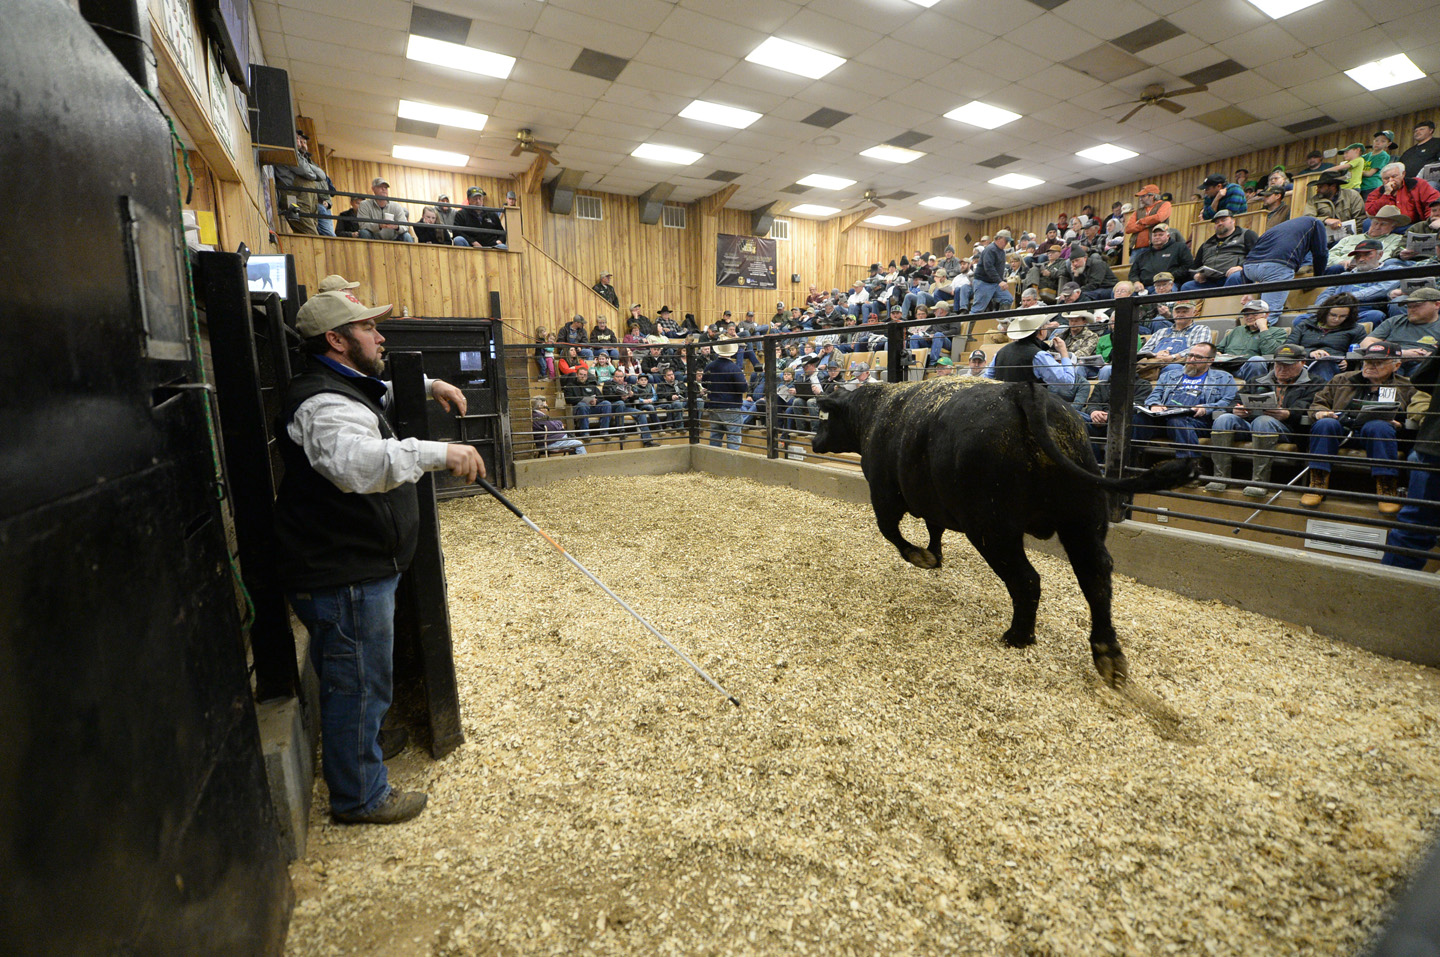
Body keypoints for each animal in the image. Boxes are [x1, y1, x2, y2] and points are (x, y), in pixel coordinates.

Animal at [817, 377, 1198, 682]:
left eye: (825, 419)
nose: (816, 440)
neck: (873, 412)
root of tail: (1023, 391)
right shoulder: (932, 501)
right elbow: (934, 529)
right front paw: (935, 556)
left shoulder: (884, 495)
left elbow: (892, 533)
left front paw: (921, 557)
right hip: (1082, 521)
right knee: (1096, 578)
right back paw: (1107, 654)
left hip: (993, 530)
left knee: (1027, 580)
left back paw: (1018, 636)